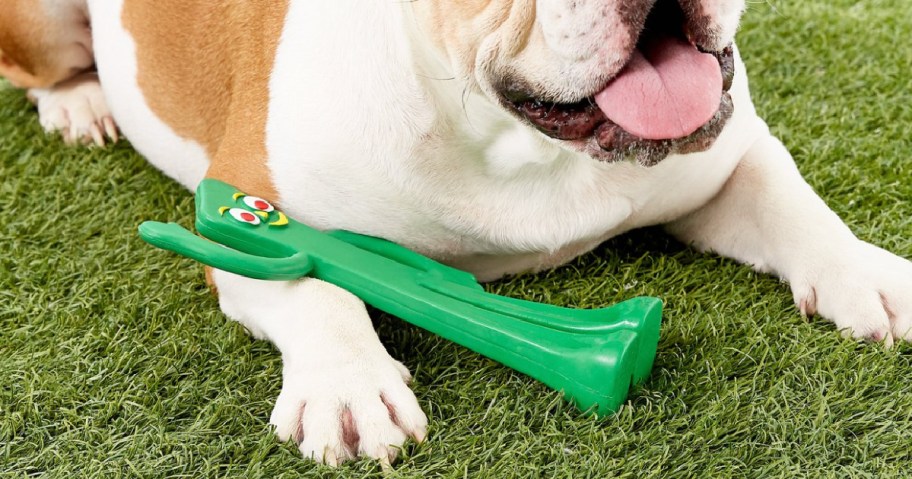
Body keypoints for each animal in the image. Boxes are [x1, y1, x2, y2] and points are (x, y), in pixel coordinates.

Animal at [1, 0, 912, 468]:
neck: (520, 140)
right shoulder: (243, 198)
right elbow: (315, 282)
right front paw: (348, 385)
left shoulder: (726, 156)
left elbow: (793, 200)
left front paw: (871, 275)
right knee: (39, 70)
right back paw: (79, 102)